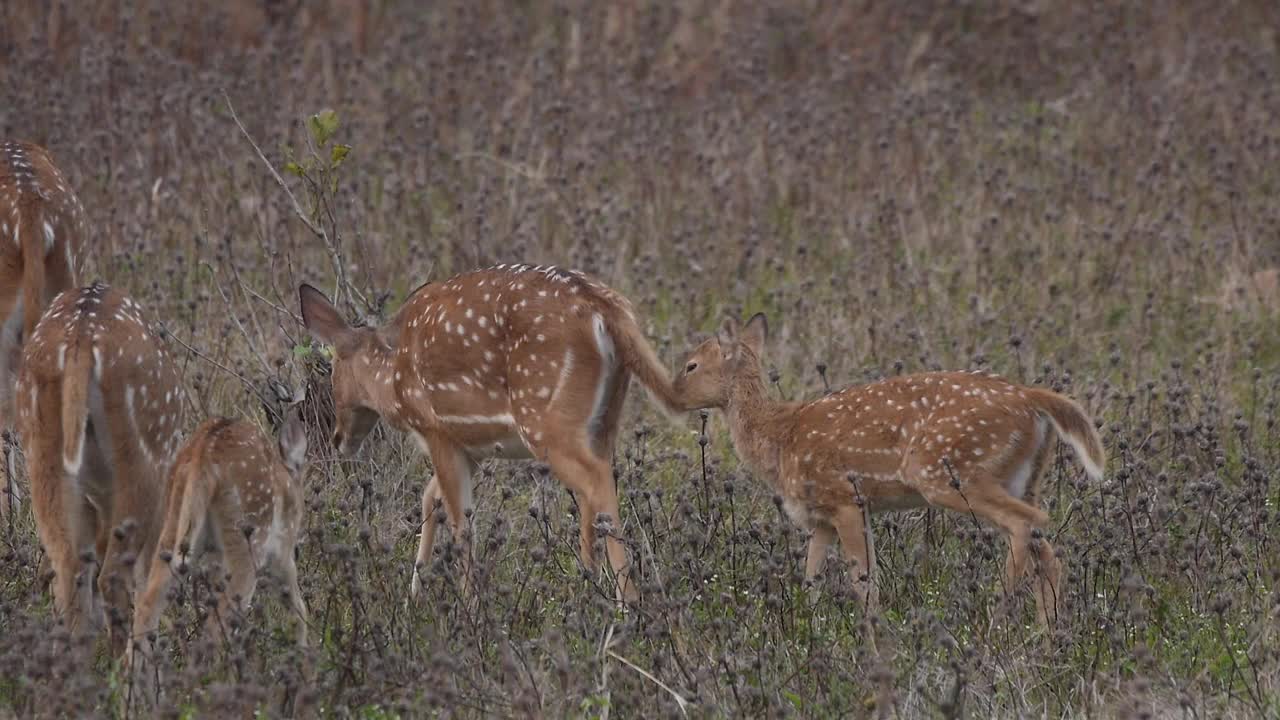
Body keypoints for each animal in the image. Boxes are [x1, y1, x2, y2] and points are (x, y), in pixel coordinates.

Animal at [129, 407, 309, 676]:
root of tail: (203, 451)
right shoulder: (282, 551)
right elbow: (298, 609)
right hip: (249, 535)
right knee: (216, 625)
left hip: (174, 520)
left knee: (146, 603)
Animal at [298, 263, 686, 599]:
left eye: (332, 372)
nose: (338, 438)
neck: (392, 385)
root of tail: (606, 308)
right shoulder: (469, 446)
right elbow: (430, 497)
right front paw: (415, 593)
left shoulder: (436, 430)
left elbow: (460, 524)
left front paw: (467, 607)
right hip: (605, 417)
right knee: (599, 480)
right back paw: (590, 586)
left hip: (544, 415)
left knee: (596, 479)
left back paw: (625, 601)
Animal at [675, 311, 1105, 625]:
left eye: (691, 365)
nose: (672, 394)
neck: (780, 438)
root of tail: (1033, 398)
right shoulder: (821, 519)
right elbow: (811, 580)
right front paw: (807, 632)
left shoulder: (846, 500)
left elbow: (864, 584)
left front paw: (871, 637)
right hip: (1019, 477)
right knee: (1046, 546)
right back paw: (1047, 635)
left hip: (950, 473)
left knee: (1026, 523)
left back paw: (995, 617)